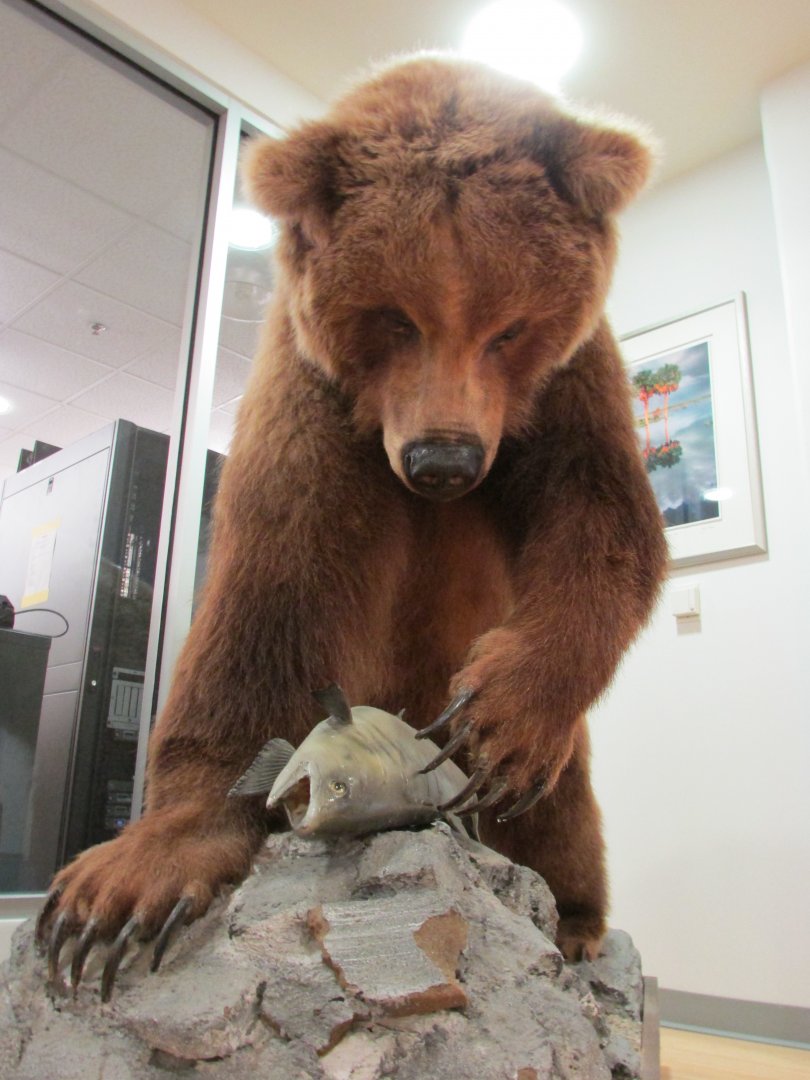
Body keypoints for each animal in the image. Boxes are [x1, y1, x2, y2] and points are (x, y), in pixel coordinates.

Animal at [39, 55, 667, 984]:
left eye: (508, 326)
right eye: (396, 317)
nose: (443, 461)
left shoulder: (571, 385)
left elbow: (605, 524)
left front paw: (501, 717)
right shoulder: (314, 400)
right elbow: (273, 588)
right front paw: (122, 884)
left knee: (565, 803)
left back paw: (576, 919)